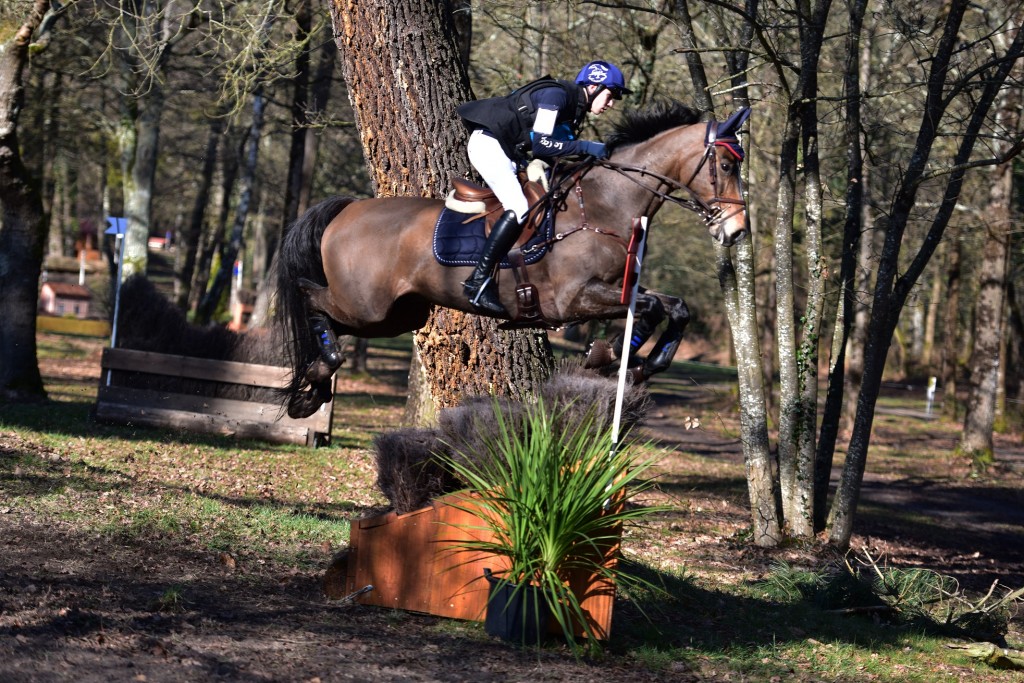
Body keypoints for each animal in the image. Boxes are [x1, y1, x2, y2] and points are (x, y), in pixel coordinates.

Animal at [276, 102, 749, 419]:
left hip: (398, 314)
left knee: (332, 316)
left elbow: (674, 307)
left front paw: (641, 363)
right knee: (309, 295)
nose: (737, 230)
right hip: (367, 305)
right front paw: (609, 354)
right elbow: (649, 308)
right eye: (727, 165)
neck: (604, 204)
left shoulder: (619, 287)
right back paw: (319, 372)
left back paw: (313, 385)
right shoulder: (572, 299)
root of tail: (349, 208)